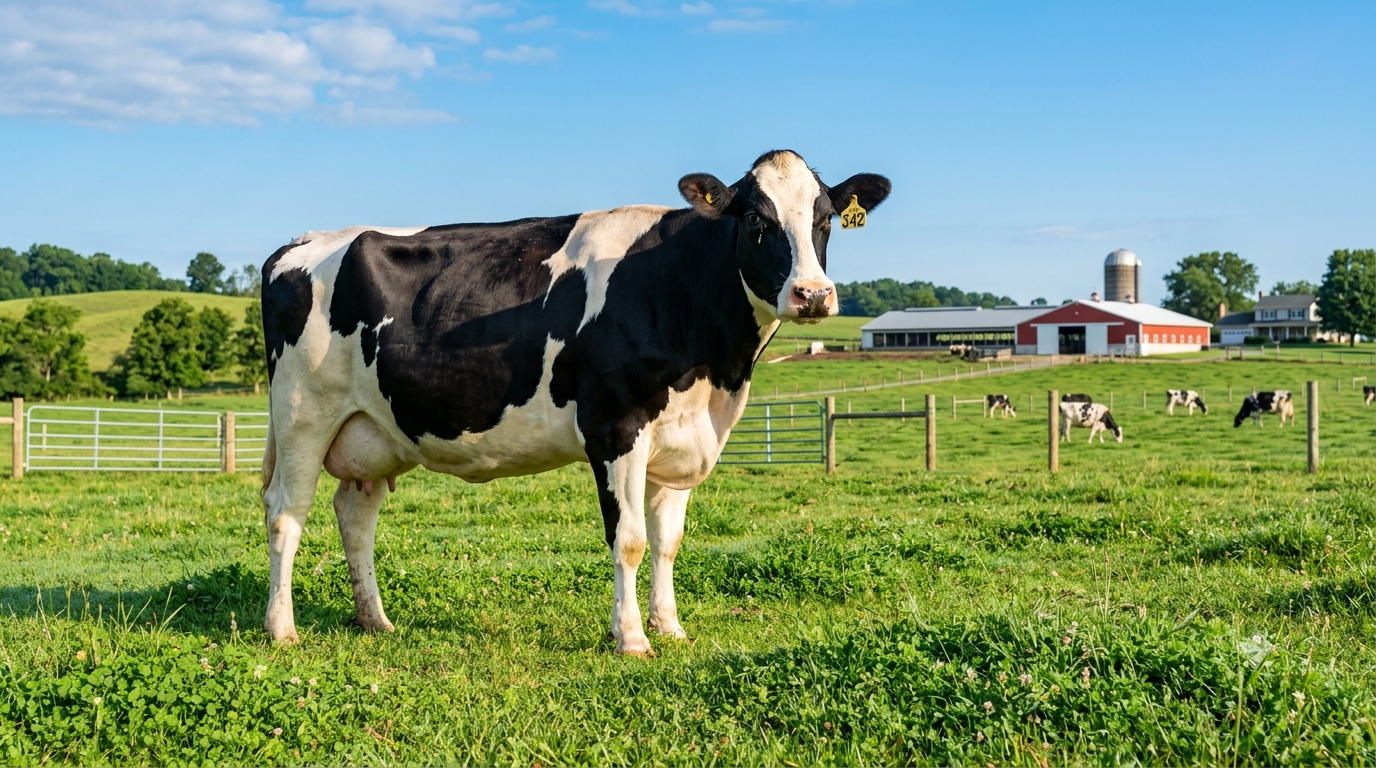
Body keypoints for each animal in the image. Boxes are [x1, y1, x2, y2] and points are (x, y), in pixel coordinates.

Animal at [258, 150, 891, 655]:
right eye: (757, 218)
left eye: (825, 218)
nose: (812, 294)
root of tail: (299, 244)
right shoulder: (615, 427)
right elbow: (630, 540)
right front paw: (631, 638)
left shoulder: (680, 437)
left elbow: (668, 543)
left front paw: (670, 628)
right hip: (302, 415)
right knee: (285, 514)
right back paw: (281, 629)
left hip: (373, 429)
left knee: (354, 514)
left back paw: (375, 620)